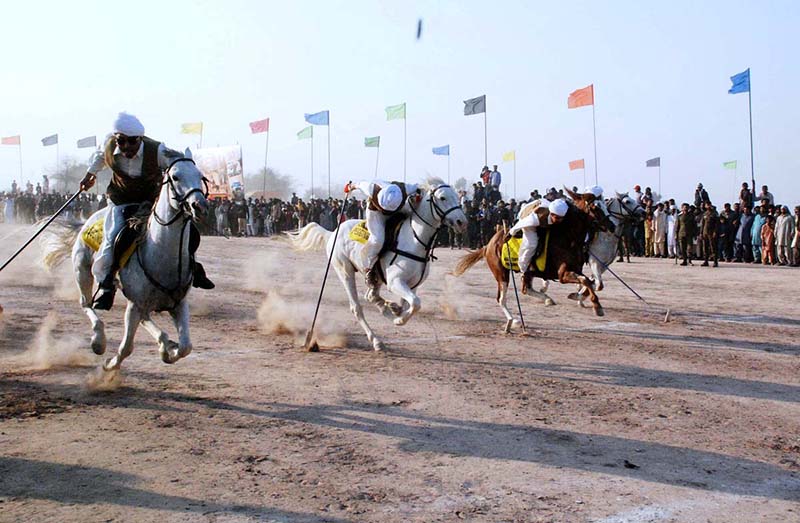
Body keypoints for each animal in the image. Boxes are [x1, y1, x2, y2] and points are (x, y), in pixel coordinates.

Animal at [41, 151, 209, 372]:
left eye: (200, 175)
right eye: (175, 177)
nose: (200, 206)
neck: (162, 256)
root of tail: (88, 219)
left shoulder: (178, 304)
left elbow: (185, 347)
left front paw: (169, 350)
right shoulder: (134, 306)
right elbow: (127, 347)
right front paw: (109, 365)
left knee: (148, 319)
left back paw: (164, 342)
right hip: (82, 270)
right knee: (86, 303)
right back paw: (98, 341)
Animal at [288, 180, 466, 352]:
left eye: (457, 197)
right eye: (442, 198)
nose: (461, 222)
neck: (415, 240)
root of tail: (332, 232)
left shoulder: (412, 284)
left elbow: (409, 303)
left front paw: (395, 311)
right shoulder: (395, 282)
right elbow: (415, 303)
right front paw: (399, 319)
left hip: (376, 277)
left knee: (371, 295)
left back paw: (388, 307)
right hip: (344, 270)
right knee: (357, 307)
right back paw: (377, 340)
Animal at [450, 191, 612, 332]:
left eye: (605, 205)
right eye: (595, 207)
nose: (612, 225)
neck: (567, 237)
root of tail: (488, 245)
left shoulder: (576, 270)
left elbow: (590, 281)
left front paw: (580, 296)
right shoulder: (562, 274)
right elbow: (585, 281)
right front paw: (597, 306)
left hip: (526, 272)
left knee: (525, 288)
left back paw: (546, 300)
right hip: (501, 273)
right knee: (501, 298)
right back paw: (512, 321)